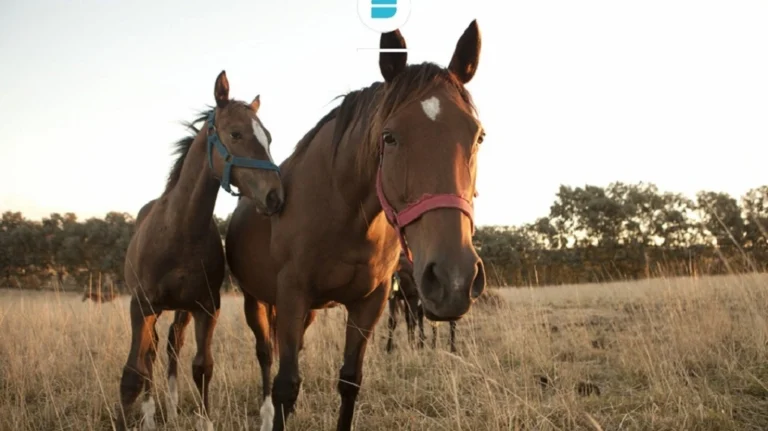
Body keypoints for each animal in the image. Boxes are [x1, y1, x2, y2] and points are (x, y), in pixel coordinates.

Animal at [117, 71, 284, 431]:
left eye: (268, 137)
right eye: (235, 133)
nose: (276, 197)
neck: (179, 232)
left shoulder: (207, 307)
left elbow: (203, 367)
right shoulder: (141, 306)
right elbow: (133, 373)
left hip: (181, 309)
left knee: (172, 345)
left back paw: (172, 407)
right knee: (151, 354)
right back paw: (151, 414)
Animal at [226, 20, 486, 431]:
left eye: (478, 136)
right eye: (389, 137)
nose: (453, 279)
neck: (342, 216)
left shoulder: (370, 302)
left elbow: (349, 380)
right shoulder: (292, 294)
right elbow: (286, 384)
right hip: (259, 301)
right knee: (267, 356)